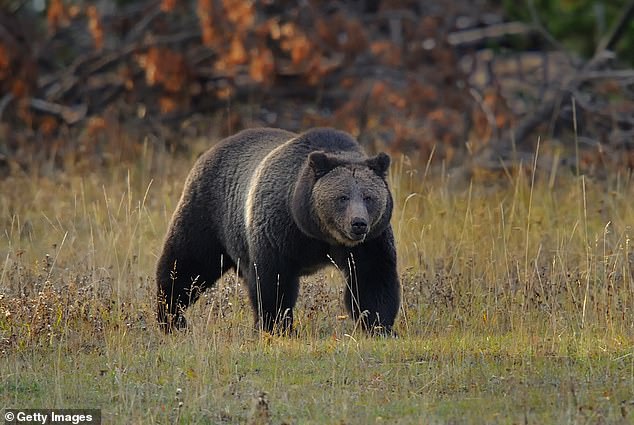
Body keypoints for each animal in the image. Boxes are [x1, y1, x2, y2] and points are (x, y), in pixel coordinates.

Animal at [156, 127, 398, 332]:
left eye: (368, 197)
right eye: (342, 197)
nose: (358, 223)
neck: (319, 233)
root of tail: (210, 150)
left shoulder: (371, 241)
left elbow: (372, 278)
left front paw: (379, 325)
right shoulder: (278, 230)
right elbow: (274, 282)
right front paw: (276, 326)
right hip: (207, 215)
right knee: (186, 265)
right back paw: (171, 318)